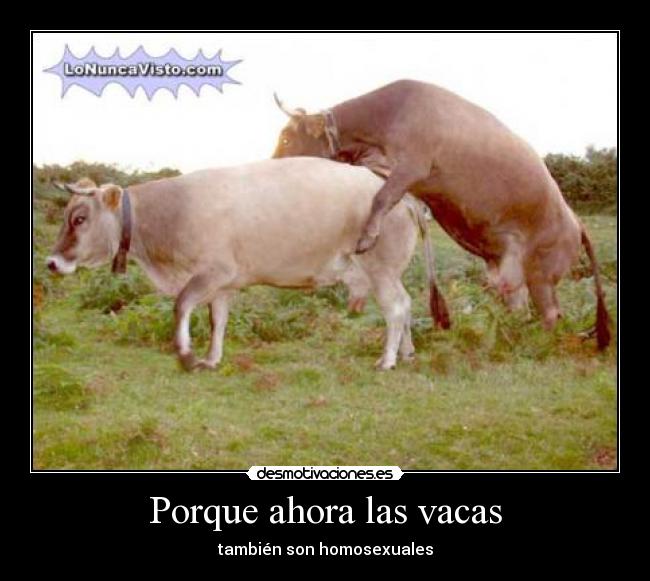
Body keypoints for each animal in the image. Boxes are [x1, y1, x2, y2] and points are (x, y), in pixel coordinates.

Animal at [47, 158, 429, 370]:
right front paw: (212, 358)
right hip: (388, 274)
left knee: (396, 309)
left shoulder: (211, 273)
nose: (51, 262)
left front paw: (186, 354)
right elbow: (218, 320)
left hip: (382, 271)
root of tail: (403, 196)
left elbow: (181, 305)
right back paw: (407, 352)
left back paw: (387, 359)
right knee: (407, 304)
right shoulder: (223, 285)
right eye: (67, 216)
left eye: (80, 218)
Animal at [272, 80, 611, 350]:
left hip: (543, 271)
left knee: (552, 313)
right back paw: (513, 336)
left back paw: (537, 343)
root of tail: (577, 221)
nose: (272, 163)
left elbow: (381, 198)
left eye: (287, 137)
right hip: (512, 272)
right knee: (521, 305)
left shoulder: (412, 165)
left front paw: (366, 239)